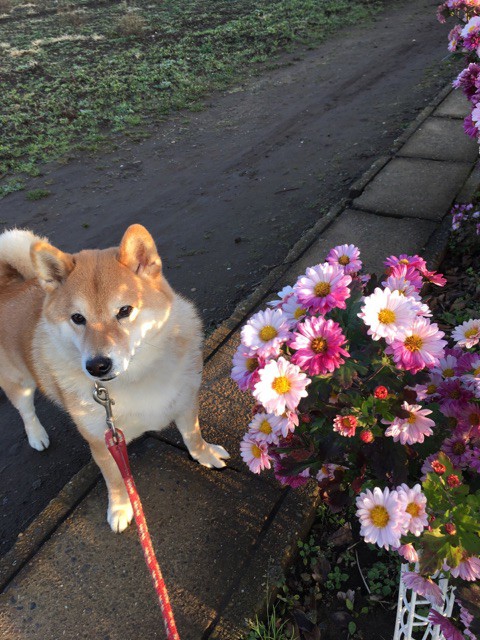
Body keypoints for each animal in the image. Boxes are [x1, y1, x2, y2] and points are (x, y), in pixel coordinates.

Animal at [0, 222, 230, 532]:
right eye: (77, 318)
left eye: (124, 311)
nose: (97, 366)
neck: (136, 377)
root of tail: (10, 287)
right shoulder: (102, 442)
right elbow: (116, 480)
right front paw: (121, 508)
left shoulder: (184, 401)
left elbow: (193, 436)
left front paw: (205, 455)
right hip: (18, 383)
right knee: (26, 411)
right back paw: (37, 436)